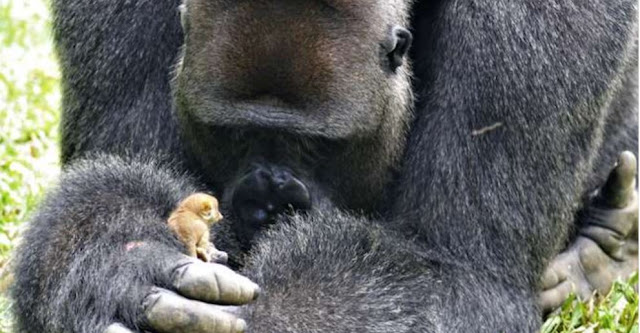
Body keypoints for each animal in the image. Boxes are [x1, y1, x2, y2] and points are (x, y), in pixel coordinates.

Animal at [10, 0, 640, 332]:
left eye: (315, 147)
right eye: (236, 134)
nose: (268, 203)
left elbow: (453, 269)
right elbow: (122, 171)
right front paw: (116, 256)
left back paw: (601, 251)